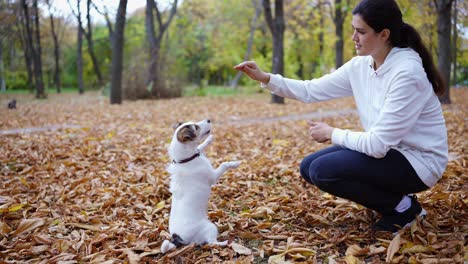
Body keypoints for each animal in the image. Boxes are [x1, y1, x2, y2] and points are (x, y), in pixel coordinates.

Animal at [161, 118, 241, 253]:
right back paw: (226, 242)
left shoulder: (197, 152)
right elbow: (224, 164)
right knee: (212, 243)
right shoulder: (213, 176)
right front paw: (234, 163)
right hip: (210, 227)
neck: (186, 160)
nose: (208, 119)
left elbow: (199, 147)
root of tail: (177, 237)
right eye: (196, 127)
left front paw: (208, 140)